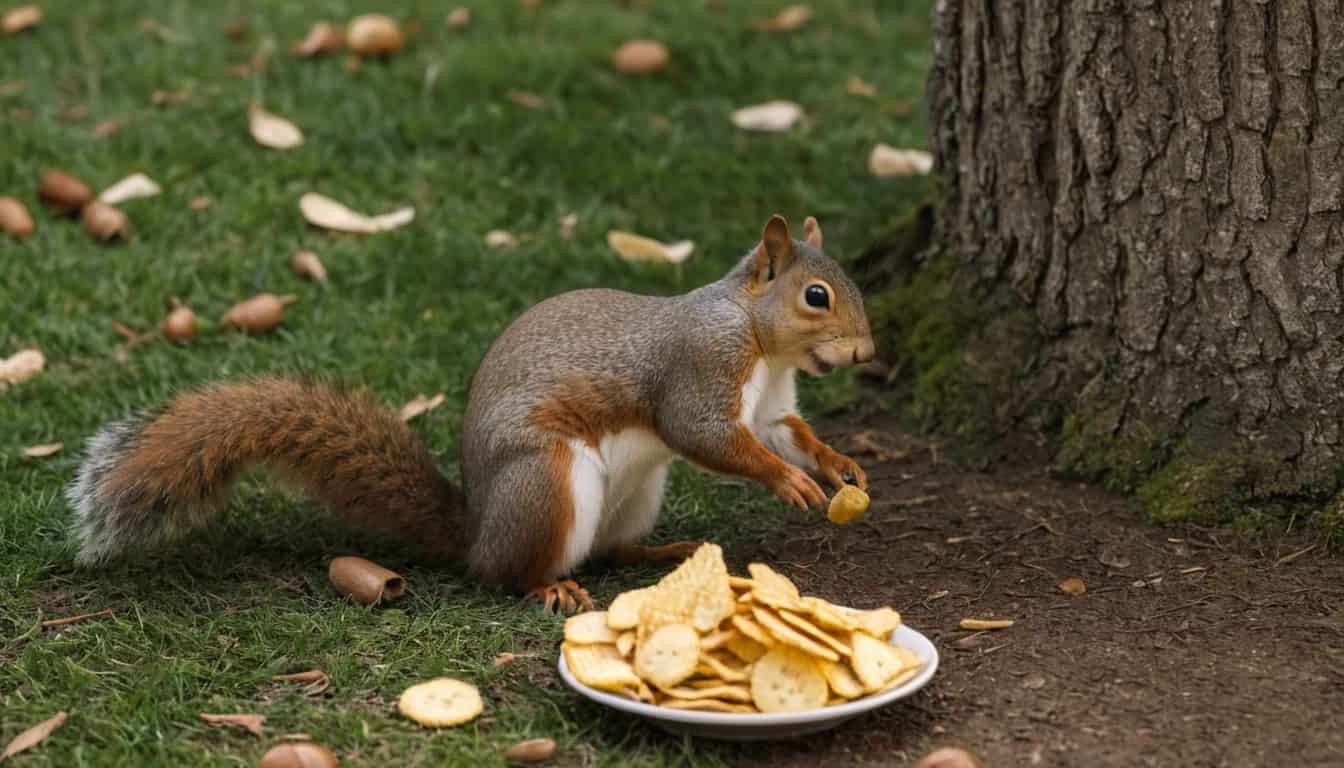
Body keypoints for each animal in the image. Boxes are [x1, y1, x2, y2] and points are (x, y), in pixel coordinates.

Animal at [66, 214, 874, 612]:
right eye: (816, 296)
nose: (866, 352)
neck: (761, 346)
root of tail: (478, 529)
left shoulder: (770, 405)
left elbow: (783, 434)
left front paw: (836, 465)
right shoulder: (699, 371)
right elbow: (708, 435)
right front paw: (787, 482)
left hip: (638, 491)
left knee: (609, 550)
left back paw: (659, 553)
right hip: (547, 481)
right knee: (510, 572)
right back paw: (546, 586)